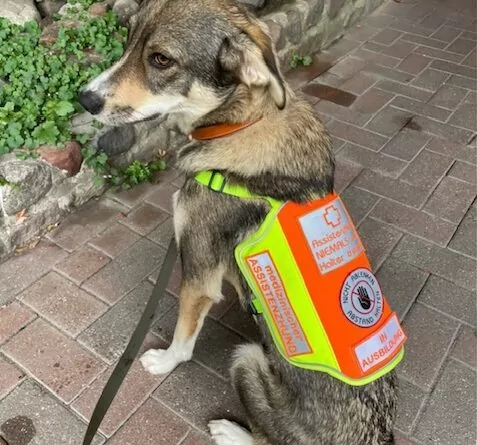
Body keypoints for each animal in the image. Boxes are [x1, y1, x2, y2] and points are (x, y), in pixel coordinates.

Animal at [79, 1, 398, 442]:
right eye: (129, 40)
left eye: (161, 60)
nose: (84, 98)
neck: (242, 121)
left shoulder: (199, 275)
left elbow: (183, 341)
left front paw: (163, 362)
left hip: (246, 358)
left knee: (263, 437)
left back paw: (230, 430)